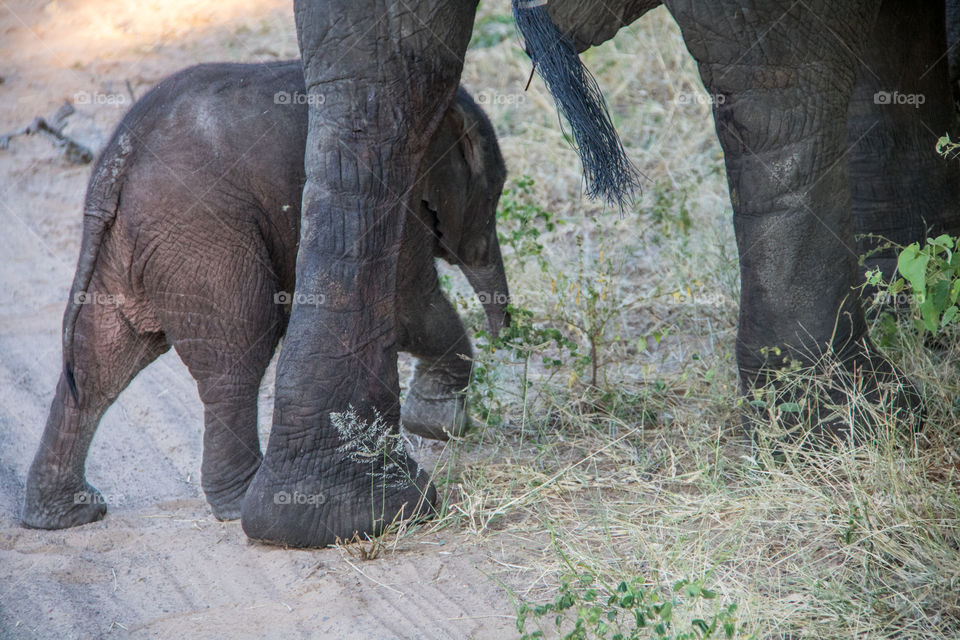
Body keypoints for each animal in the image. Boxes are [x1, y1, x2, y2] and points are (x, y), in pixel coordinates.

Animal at [22, 60, 510, 528]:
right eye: (495, 195)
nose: (503, 333)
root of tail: (113, 167)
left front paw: (435, 423)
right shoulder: (400, 192)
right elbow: (407, 307)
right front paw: (439, 424)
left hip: (128, 248)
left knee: (100, 360)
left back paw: (67, 515)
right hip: (206, 241)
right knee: (238, 354)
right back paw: (241, 503)